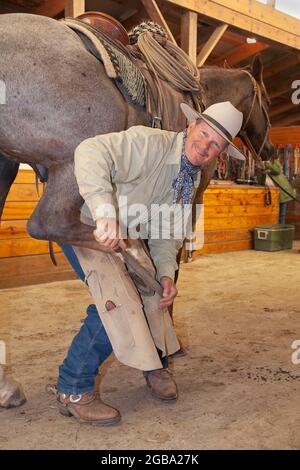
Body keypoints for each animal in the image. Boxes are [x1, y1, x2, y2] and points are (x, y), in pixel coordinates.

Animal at [0, 12, 274, 406]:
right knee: (48, 221)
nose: (269, 151)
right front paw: (167, 348)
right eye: (265, 100)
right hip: (74, 158)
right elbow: (173, 266)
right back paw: (132, 261)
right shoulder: (185, 204)